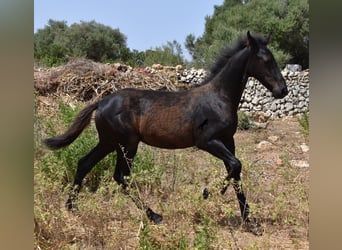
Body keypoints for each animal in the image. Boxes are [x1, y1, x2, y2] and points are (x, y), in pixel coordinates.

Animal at [43, 31, 288, 234]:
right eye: (265, 60)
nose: (282, 90)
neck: (219, 97)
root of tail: (101, 102)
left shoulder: (229, 141)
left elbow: (236, 172)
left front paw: (251, 223)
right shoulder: (207, 141)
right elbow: (235, 166)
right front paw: (208, 192)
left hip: (109, 142)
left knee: (85, 163)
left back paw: (71, 208)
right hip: (127, 144)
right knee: (122, 176)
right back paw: (154, 216)